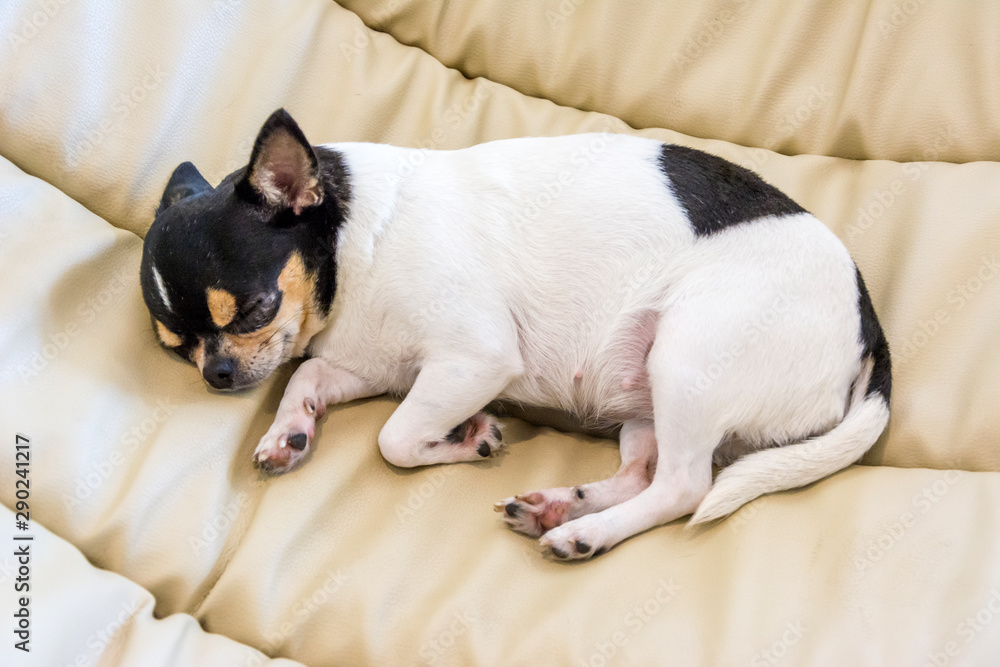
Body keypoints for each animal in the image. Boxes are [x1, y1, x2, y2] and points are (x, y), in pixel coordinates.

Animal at [139, 108, 892, 560]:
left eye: (252, 310)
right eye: (176, 349)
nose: (217, 375)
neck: (355, 243)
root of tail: (869, 326)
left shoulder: (473, 360)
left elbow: (394, 439)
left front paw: (468, 438)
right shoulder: (379, 365)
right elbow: (309, 372)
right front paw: (289, 430)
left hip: (689, 359)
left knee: (684, 486)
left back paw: (585, 532)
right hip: (646, 391)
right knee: (643, 470)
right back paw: (563, 505)